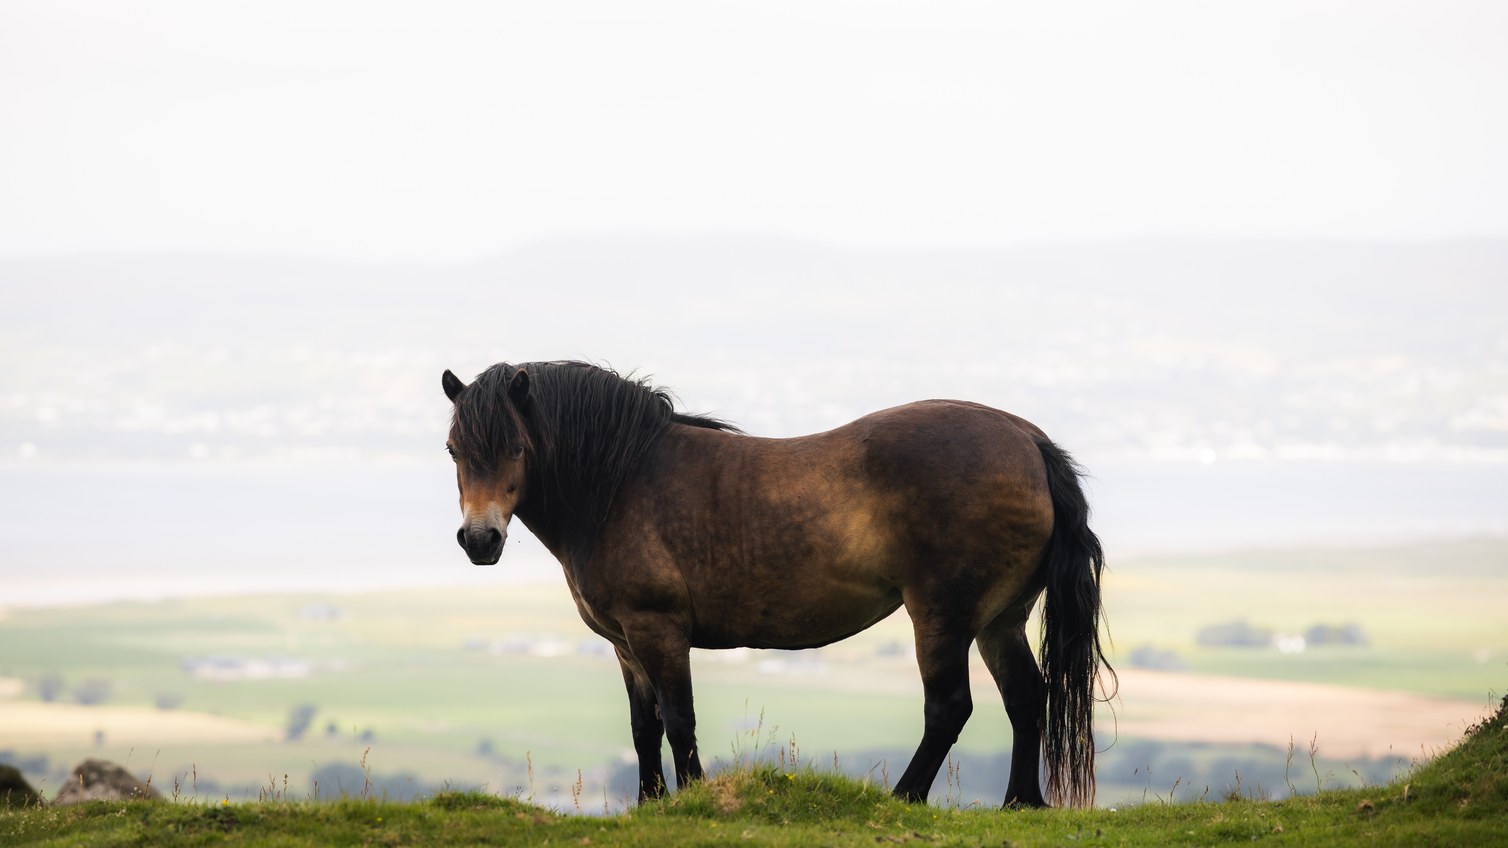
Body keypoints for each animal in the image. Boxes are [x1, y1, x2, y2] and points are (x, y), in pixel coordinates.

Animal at [441, 360, 1112, 807]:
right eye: (452, 448)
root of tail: (1029, 441)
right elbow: (644, 727)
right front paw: (651, 804)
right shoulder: (625, 643)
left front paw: (693, 800)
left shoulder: (658, 630)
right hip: (1000, 619)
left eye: (516, 447)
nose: (480, 540)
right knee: (1026, 695)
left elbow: (678, 718)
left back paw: (903, 797)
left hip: (943, 616)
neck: (620, 481)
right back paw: (1020, 803)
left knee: (950, 706)